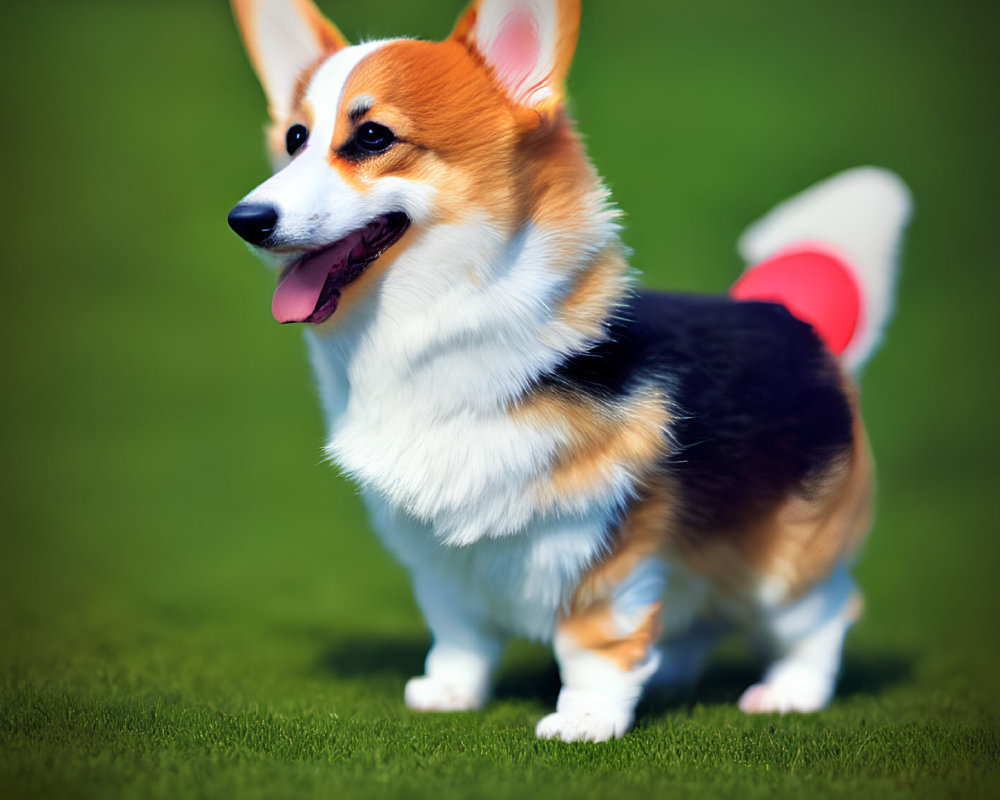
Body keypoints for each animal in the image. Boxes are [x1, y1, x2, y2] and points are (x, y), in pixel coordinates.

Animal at [229, 0, 916, 744]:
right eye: (295, 139)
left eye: (373, 137)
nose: (246, 219)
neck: (428, 326)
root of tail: (796, 321)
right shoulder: (439, 559)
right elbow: (460, 636)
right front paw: (449, 693)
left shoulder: (607, 546)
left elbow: (594, 645)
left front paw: (584, 720)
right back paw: (670, 674)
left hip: (785, 564)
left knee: (825, 613)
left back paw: (789, 693)